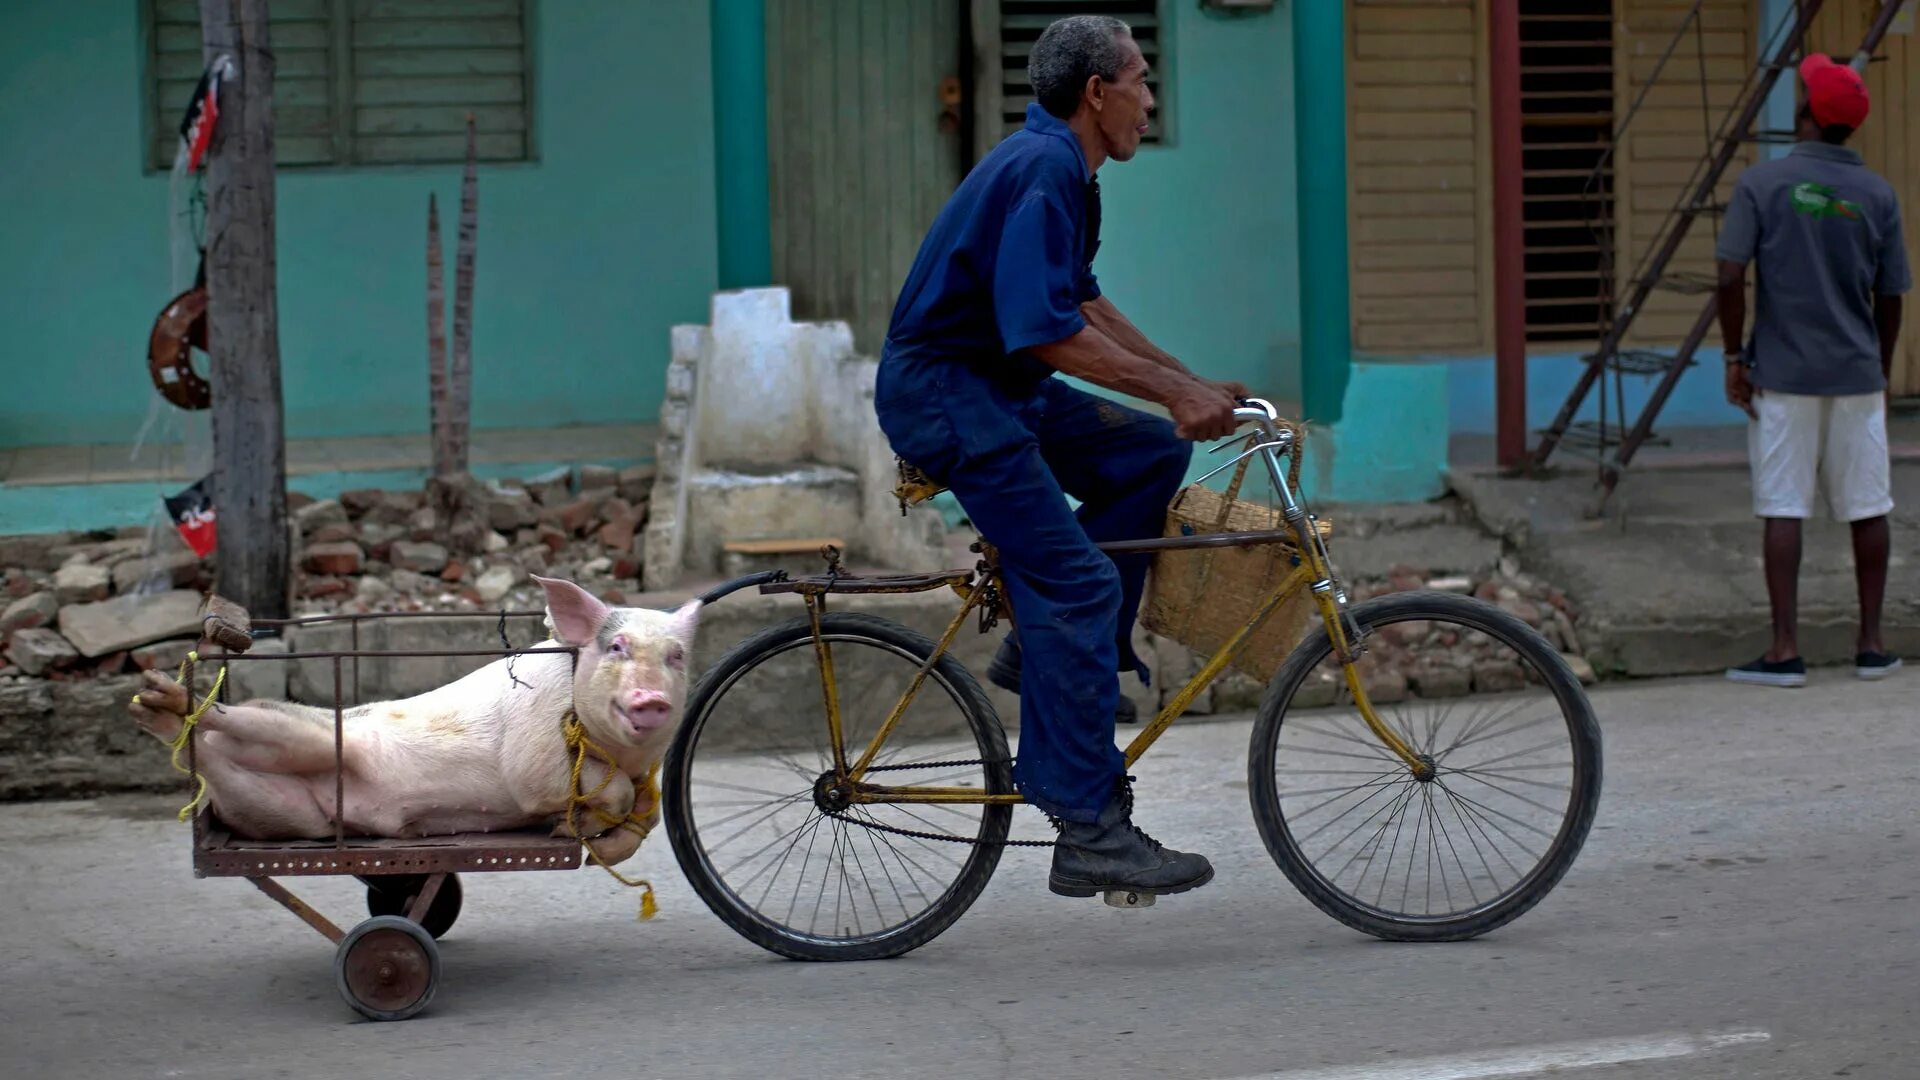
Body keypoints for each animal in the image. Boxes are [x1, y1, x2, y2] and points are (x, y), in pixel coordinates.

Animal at [127, 572, 702, 864]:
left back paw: (156, 714)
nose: (652, 699)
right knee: (227, 720)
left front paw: (585, 835)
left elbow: (646, 813)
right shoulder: (533, 754)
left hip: (282, 812)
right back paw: (158, 699)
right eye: (617, 647)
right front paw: (571, 826)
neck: (617, 752)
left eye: (676, 657)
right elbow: (590, 789)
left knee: (219, 769)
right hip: (305, 732)